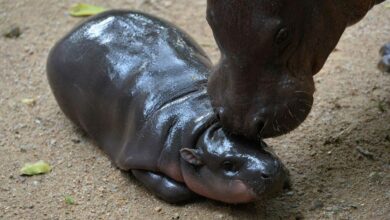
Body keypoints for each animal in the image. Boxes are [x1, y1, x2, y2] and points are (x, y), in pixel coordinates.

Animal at [46, 9, 290, 203]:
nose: (270, 170)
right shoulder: (138, 158)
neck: (199, 124)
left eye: (259, 141)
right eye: (228, 165)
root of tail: (74, 30)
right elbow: (172, 189)